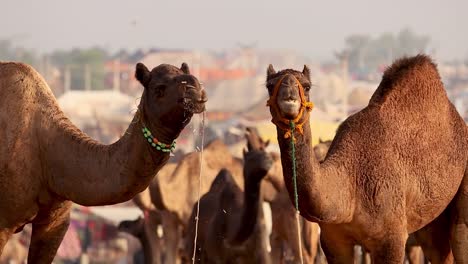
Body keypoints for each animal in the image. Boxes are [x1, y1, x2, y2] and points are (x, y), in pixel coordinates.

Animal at [184, 130, 272, 264]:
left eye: (265, 151)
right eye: (250, 157)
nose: (267, 161)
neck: (236, 240)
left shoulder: (262, 253)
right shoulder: (217, 256)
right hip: (194, 247)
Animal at [266, 54, 466, 262]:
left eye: (307, 86)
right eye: (269, 86)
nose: (289, 94)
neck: (350, 186)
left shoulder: (391, 238)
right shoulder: (332, 240)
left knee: (460, 238)